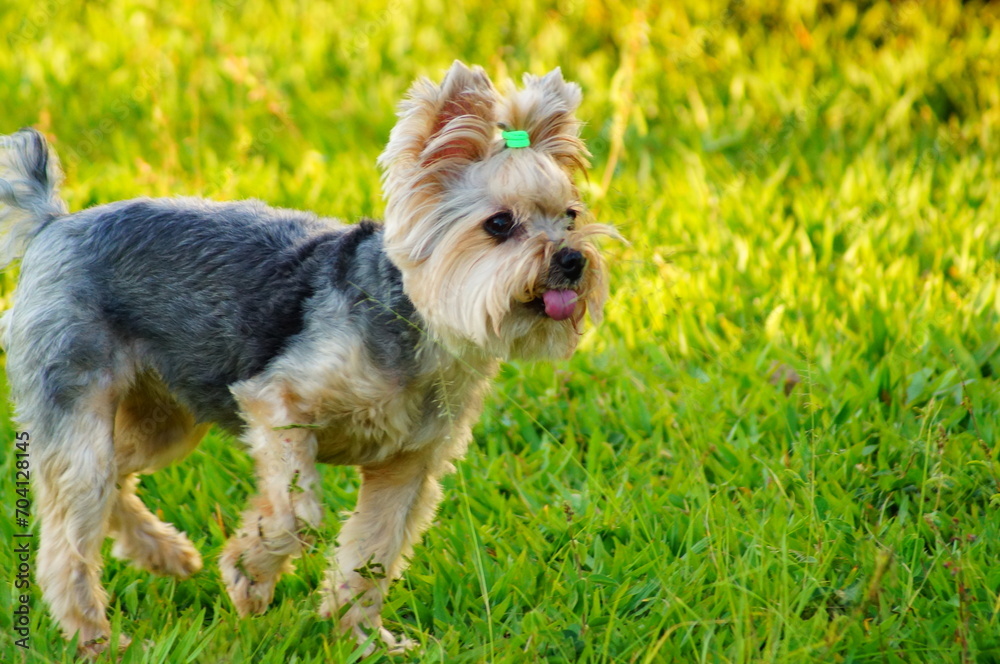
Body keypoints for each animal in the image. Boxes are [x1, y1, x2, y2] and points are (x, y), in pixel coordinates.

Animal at [0, 61, 612, 652]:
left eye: (570, 216)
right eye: (500, 224)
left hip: (165, 420)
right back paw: (95, 636)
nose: (572, 260)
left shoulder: (408, 463)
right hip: (74, 392)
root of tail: (55, 224)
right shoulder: (275, 402)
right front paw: (249, 576)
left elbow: (373, 552)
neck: (420, 320)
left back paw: (165, 553)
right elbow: (298, 513)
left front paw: (362, 638)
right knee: (71, 522)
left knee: (116, 476)